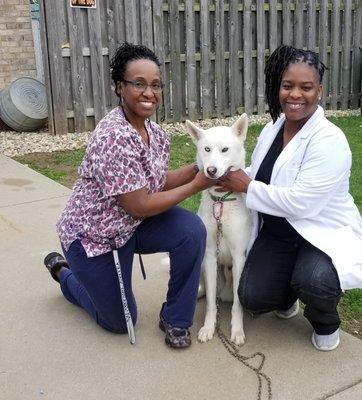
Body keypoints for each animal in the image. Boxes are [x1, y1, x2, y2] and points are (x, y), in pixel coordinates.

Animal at [185, 114, 250, 346]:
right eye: (206, 149)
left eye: (224, 150)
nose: (210, 170)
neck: (221, 201)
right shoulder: (211, 255)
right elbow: (211, 302)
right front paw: (208, 327)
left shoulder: (239, 257)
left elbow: (238, 304)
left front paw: (237, 330)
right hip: (203, 264)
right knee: (208, 290)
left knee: (230, 296)